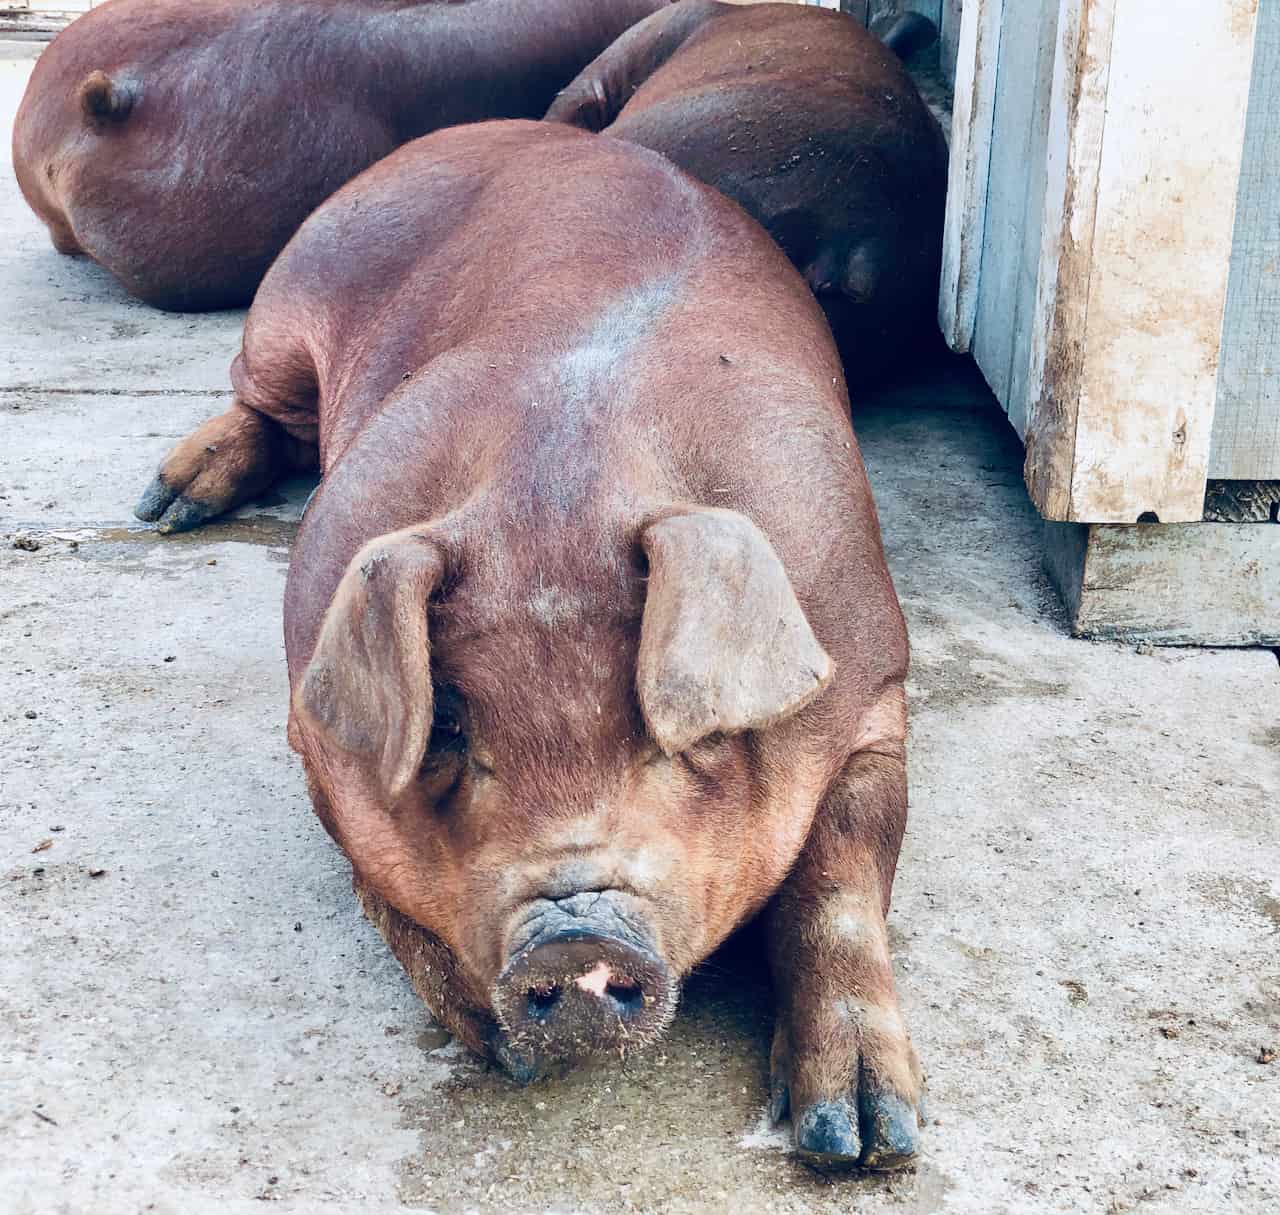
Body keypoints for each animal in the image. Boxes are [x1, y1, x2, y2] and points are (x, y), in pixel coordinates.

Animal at [135, 119, 923, 1168]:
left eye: (678, 734)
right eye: (448, 728)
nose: (574, 936)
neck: (566, 480)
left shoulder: (874, 686)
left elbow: (839, 873)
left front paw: (863, 1139)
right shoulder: (312, 731)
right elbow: (374, 880)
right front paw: (508, 1054)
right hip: (287, 303)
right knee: (261, 404)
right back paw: (163, 505)